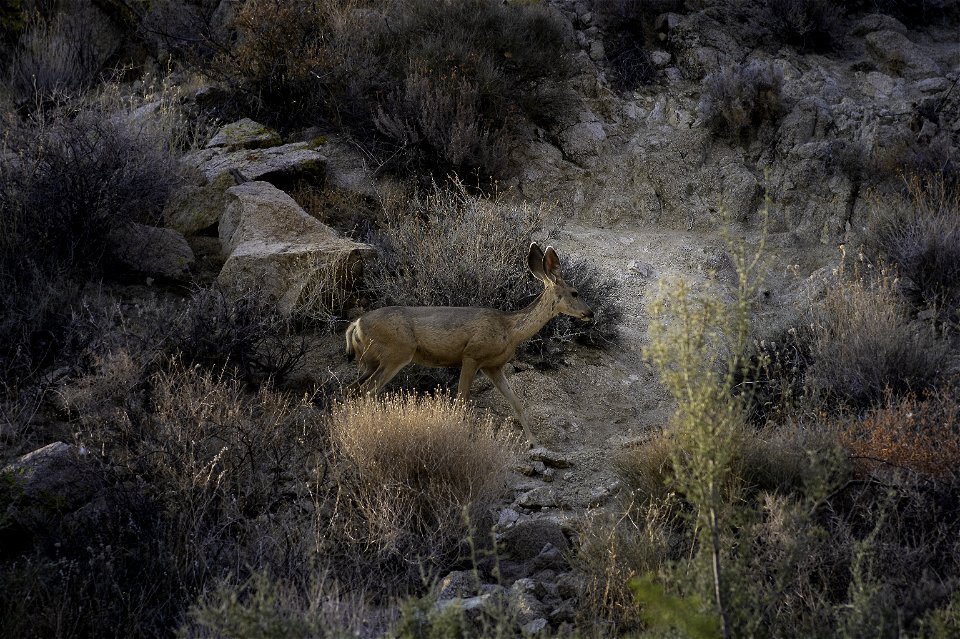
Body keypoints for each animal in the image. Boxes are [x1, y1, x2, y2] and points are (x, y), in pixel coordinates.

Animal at [346, 242, 592, 448]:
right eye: (575, 293)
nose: (590, 313)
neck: (510, 330)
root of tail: (356, 324)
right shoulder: (472, 355)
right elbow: (462, 399)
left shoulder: (493, 366)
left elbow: (516, 402)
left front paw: (533, 442)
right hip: (397, 352)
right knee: (368, 390)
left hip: (370, 361)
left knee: (352, 388)